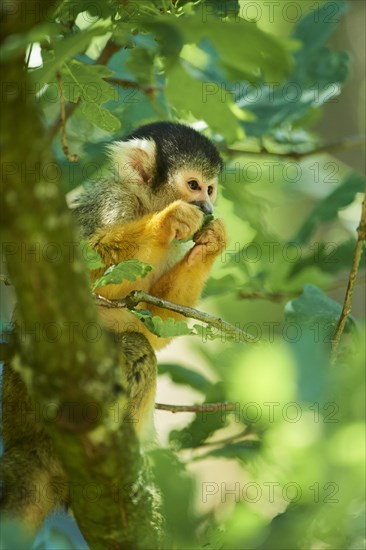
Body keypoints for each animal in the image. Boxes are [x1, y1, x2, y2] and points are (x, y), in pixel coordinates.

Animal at [0, 123, 226, 536]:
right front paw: (169, 221)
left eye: (210, 188)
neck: (141, 204)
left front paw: (212, 241)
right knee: (134, 349)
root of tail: (20, 442)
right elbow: (72, 271)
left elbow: (155, 325)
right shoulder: (112, 203)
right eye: (193, 185)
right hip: (34, 404)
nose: (208, 208)